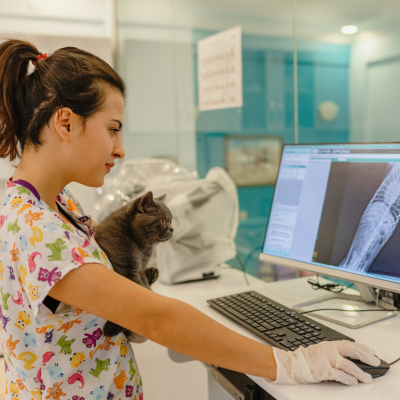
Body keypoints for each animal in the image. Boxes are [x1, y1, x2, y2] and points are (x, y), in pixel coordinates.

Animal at [94, 191, 174, 340]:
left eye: (171, 220)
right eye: (162, 221)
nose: (172, 229)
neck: (141, 249)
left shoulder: (140, 269)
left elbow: (145, 288)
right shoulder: (127, 270)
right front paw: (112, 328)